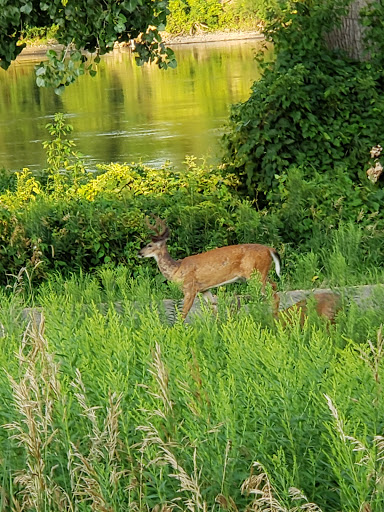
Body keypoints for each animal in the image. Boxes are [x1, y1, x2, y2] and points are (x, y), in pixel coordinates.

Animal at [138, 217, 282, 320]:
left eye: (149, 245)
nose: (139, 253)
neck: (177, 269)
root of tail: (270, 249)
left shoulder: (190, 289)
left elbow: (183, 315)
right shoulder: (204, 289)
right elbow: (215, 310)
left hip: (256, 275)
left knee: (272, 295)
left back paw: (274, 319)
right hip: (261, 274)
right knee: (274, 286)